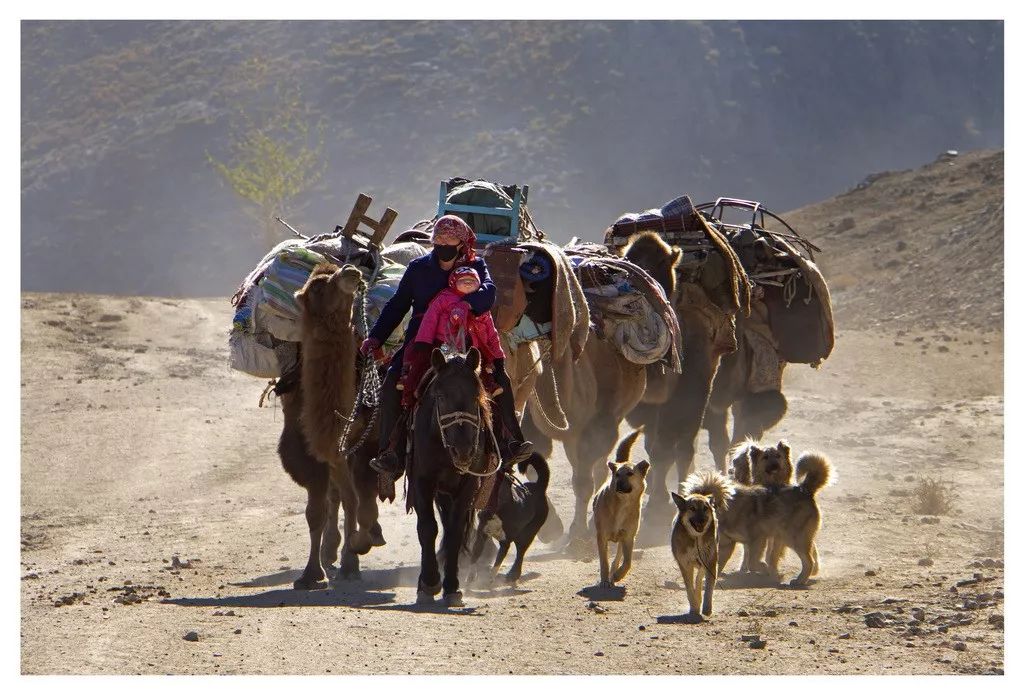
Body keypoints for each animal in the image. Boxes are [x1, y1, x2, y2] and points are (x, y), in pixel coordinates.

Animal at [593, 429, 647, 585]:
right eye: (617, 475)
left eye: (630, 474)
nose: (618, 484)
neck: (622, 504)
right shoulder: (602, 536)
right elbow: (603, 562)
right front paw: (604, 580)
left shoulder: (628, 537)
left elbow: (628, 562)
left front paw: (618, 575)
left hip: (623, 539)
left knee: (618, 556)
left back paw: (614, 572)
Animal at [671, 470, 737, 622]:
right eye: (692, 508)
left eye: (705, 508)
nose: (701, 520)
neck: (696, 539)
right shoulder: (685, 564)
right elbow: (689, 588)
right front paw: (694, 607)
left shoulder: (710, 562)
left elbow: (708, 588)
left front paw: (706, 608)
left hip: (706, 561)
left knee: (700, 578)